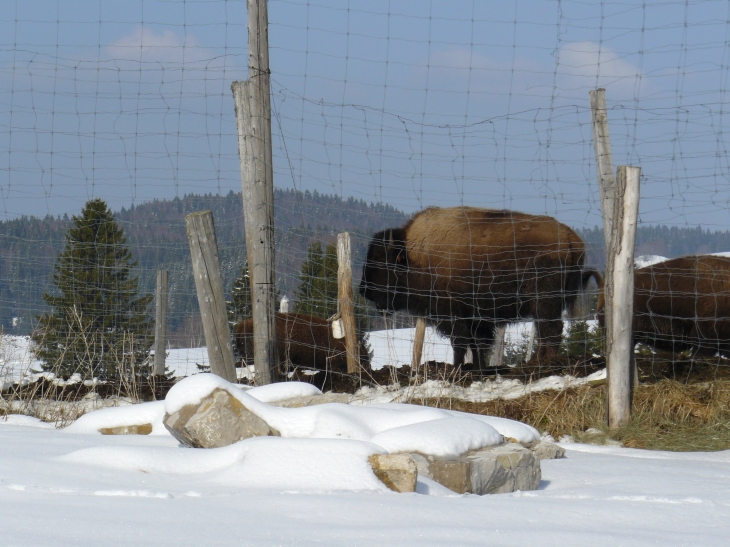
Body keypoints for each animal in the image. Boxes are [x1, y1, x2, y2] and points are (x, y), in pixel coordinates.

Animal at [360, 208, 604, 370]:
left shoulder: (455, 315)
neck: (414, 256)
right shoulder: (476, 319)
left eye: (381, 262)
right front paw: (477, 367)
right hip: (543, 305)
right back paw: (535, 361)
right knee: (546, 331)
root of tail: (572, 240)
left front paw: (457, 368)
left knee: (551, 329)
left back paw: (544, 363)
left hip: (545, 301)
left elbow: (460, 343)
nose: (364, 290)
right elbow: (477, 344)